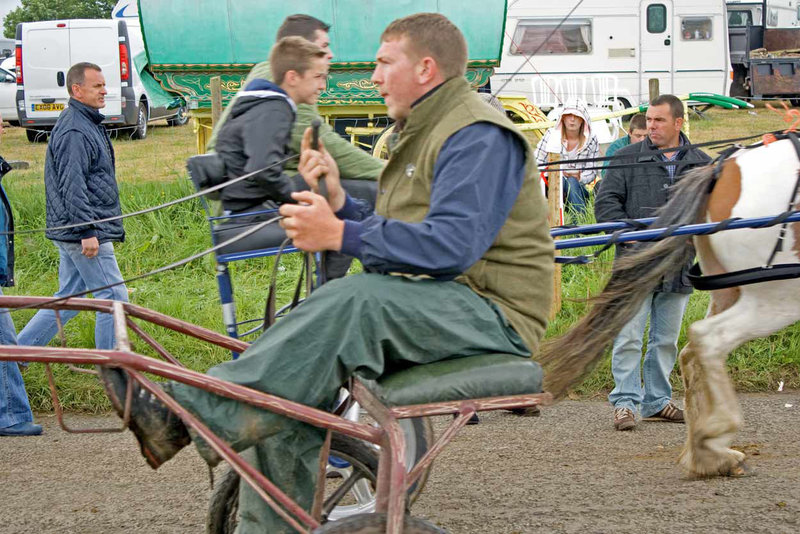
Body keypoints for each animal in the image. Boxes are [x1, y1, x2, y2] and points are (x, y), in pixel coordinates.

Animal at [540, 136, 800, 480]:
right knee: (707, 341)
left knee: (690, 353)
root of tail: (722, 169)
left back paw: (707, 454)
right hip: (777, 297)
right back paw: (713, 443)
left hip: (735, 291)